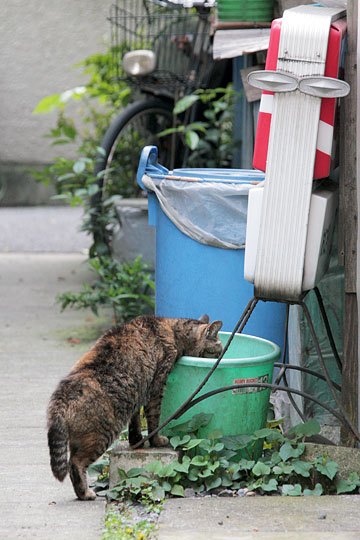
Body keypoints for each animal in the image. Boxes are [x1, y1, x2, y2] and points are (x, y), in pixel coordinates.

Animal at [47, 314, 222, 500]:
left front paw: (137, 440)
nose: (220, 357)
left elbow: (135, 421)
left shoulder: (138, 393)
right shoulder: (156, 387)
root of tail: (61, 397)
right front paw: (156, 441)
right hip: (100, 435)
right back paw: (86, 493)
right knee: (75, 463)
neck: (174, 330)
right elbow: (154, 418)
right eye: (217, 351)